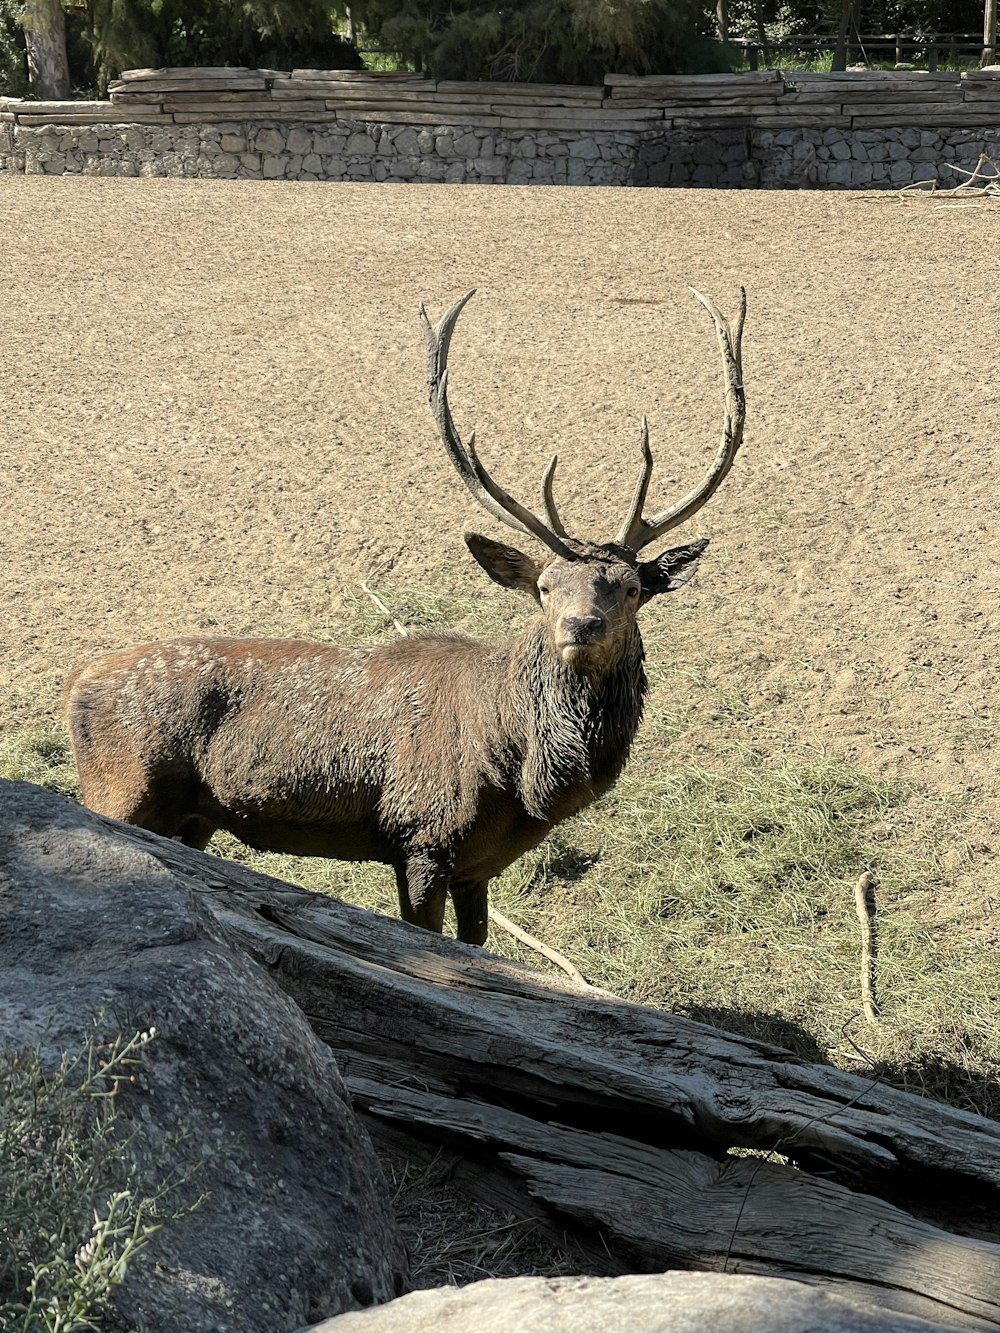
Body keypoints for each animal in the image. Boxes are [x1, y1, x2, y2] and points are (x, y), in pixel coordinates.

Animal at [62, 286, 746, 949]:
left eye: (629, 588)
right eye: (545, 588)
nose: (581, 628)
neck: (521, 775)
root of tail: (74, 685)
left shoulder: (477, 867)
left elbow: (477, 944)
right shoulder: (422, 836)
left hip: (194, 818)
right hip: (120, 790)